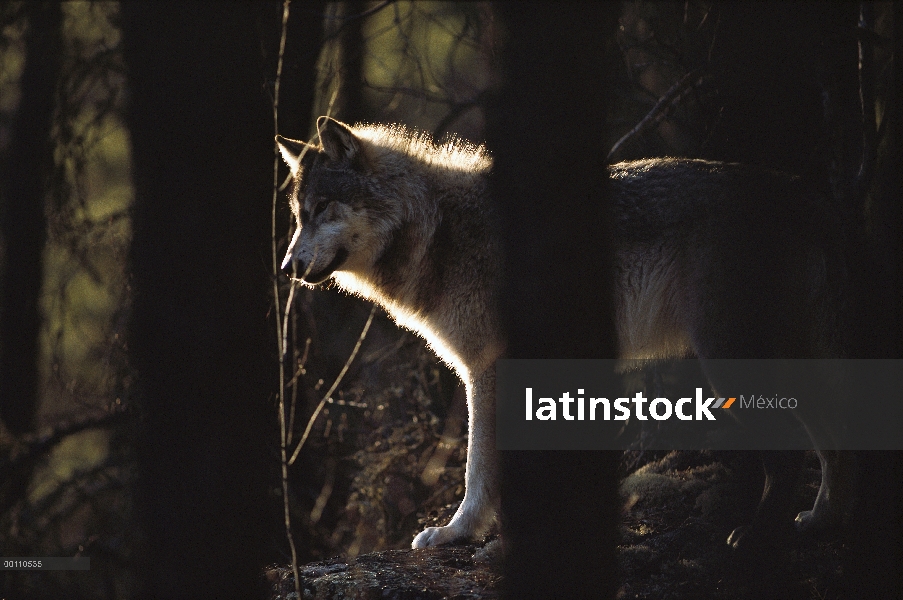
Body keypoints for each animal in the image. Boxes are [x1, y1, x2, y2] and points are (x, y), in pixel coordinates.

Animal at [276, 116, 848, 548]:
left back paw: (759, 536)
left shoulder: (488, 371)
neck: (437, 230)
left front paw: (459, 533)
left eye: (322, 209)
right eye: (297, 215)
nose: (287, 266)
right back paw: (820, 522)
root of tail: (805, 192)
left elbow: (477, 470)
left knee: (792, 451)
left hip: (728, 359)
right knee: (833, 444)